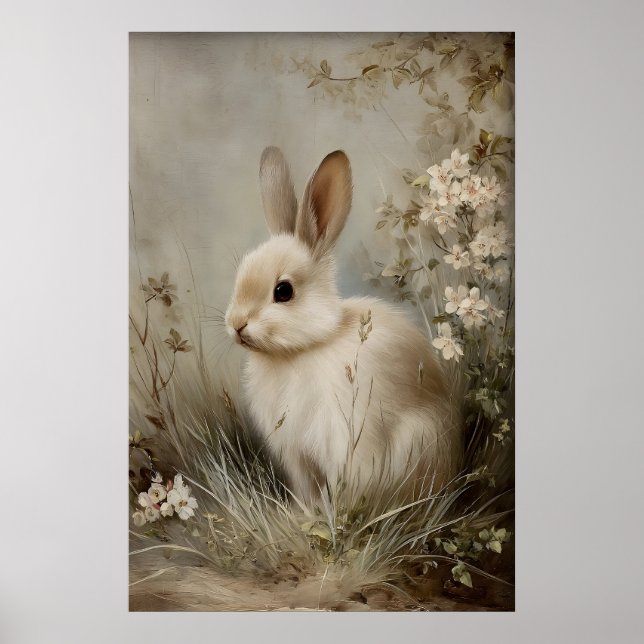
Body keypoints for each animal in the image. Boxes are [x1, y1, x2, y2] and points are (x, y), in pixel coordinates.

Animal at [225, 146, 460, 505]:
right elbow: (305, 488)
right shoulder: (295, 455)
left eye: (283, 291)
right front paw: (307, 511)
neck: (303, 347)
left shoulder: (345, 442)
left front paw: (333, 513)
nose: (236, 324)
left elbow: (344, 485)